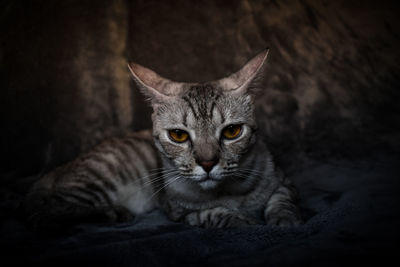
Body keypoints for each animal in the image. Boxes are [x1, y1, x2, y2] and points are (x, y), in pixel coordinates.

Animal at [25, 50, 300, 230]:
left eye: (232, 131)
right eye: (178, 135)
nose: (207, 163)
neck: (227, 193)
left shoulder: (284, 181)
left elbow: (281, 201)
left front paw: (284, 221)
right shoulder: (178, 212)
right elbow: (213, 214)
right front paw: (241, 221)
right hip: (97, 182)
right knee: (38, 209)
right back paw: (112, 213)